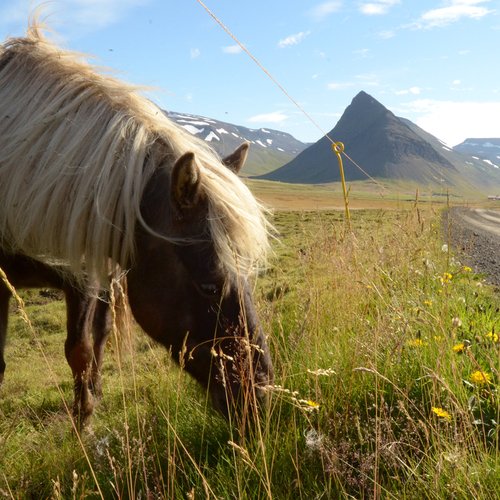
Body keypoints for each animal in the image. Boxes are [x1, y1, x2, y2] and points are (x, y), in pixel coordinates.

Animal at [0, 23, 274, 428]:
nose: (260, 399)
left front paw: (85, 424)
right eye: (209, 286)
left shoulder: (85, 277)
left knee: (98, 336)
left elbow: (81, 350)